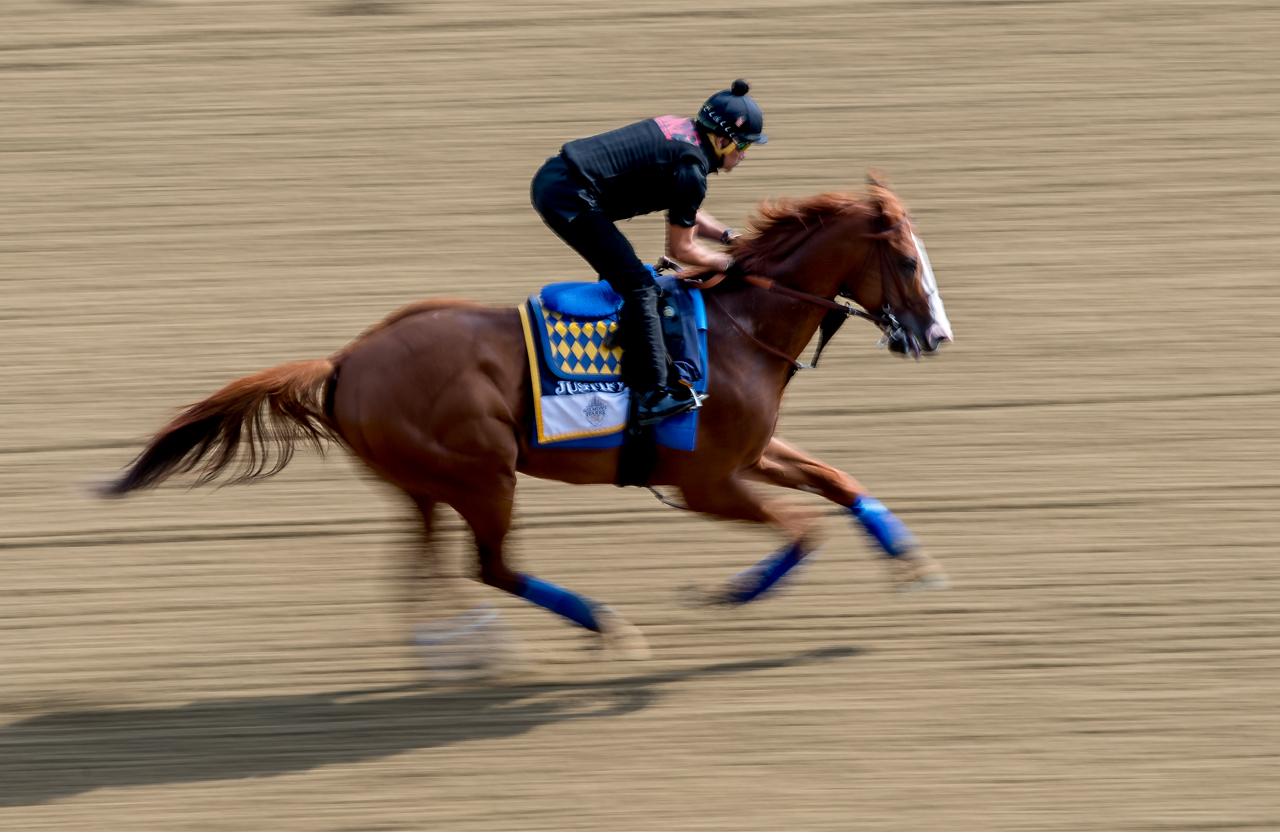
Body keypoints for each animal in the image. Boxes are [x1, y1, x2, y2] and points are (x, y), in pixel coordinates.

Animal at [102, 179, 952, 670]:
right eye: (910, 262)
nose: (936, 336)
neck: (740, 324)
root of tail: (344, 361)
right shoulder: (706, 482)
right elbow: (803, 528)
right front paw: (733, 592)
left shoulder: (749, 452)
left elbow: (837, 482)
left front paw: (913, 562)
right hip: (483, 473)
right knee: (491, 568)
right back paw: (601, 626)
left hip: (423, 483)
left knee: (420, 571)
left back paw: (455, 650)